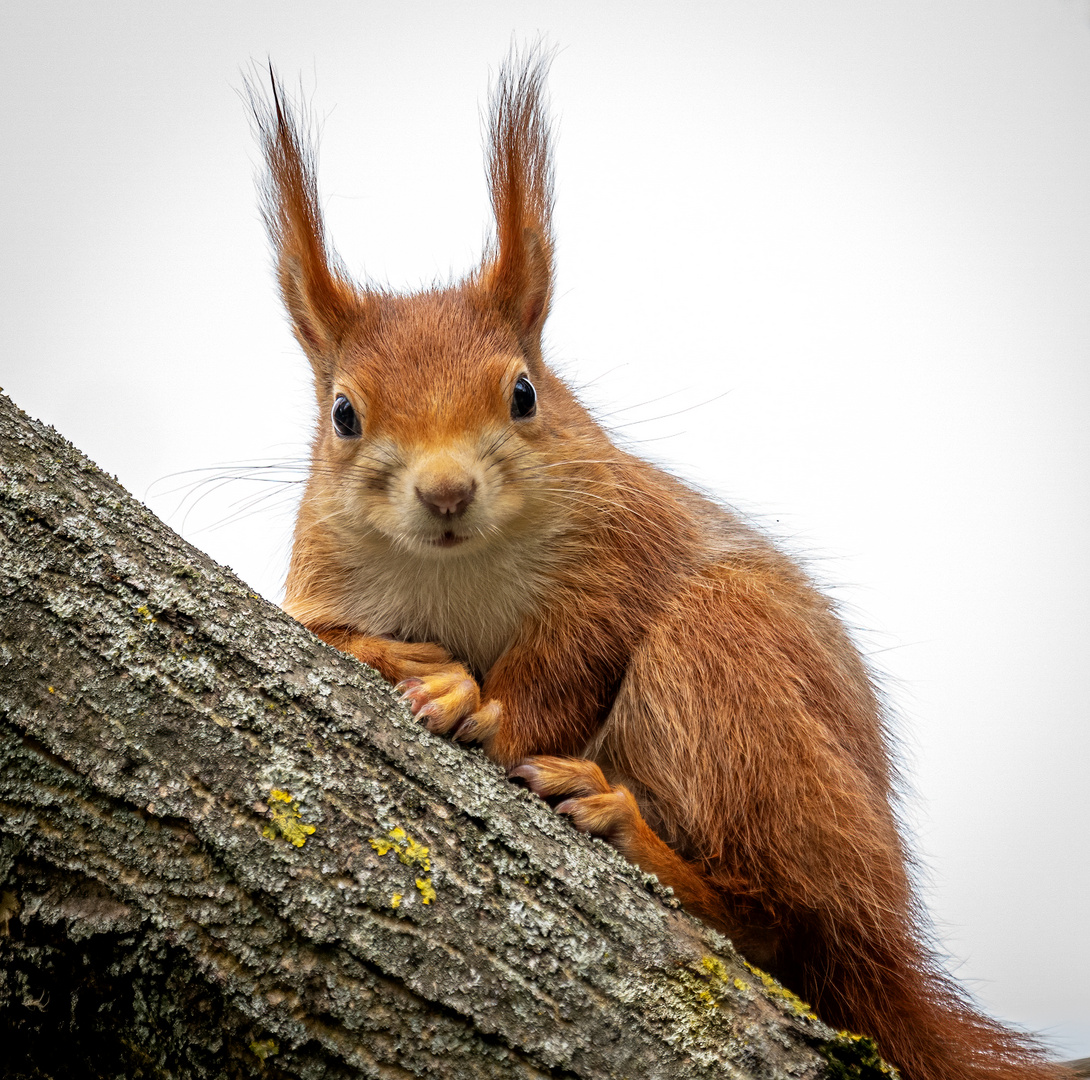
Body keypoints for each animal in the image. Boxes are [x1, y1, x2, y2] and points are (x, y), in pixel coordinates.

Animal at [250, 56, 1068, 1080]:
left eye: (524, 394)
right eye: (344, 415)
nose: (445, 493)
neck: (458, 569)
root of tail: (887, 941)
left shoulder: (624, 550)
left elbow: (569, 665)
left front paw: (480, 706)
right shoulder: (316, 580)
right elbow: (319, 631)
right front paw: (407, 663)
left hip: (729, 661)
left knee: (786, 922)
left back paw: (624, 825)